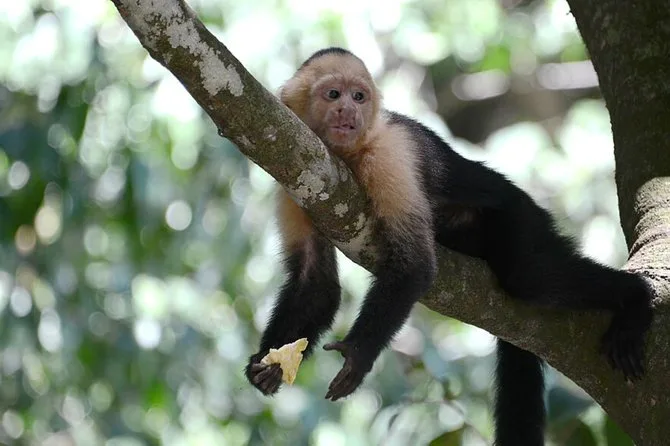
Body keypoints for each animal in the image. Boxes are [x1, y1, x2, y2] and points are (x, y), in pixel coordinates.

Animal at [245, 47, 653, 446]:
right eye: (333, 94)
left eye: (358, 96)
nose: (349, 111)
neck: (345, 155)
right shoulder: (292, 179)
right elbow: (316, 283)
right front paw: (268, 362)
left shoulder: (391, 155)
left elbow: (415, 265)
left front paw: (358, 354)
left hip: (522, 218)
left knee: (528, 277)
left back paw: (635, 297)